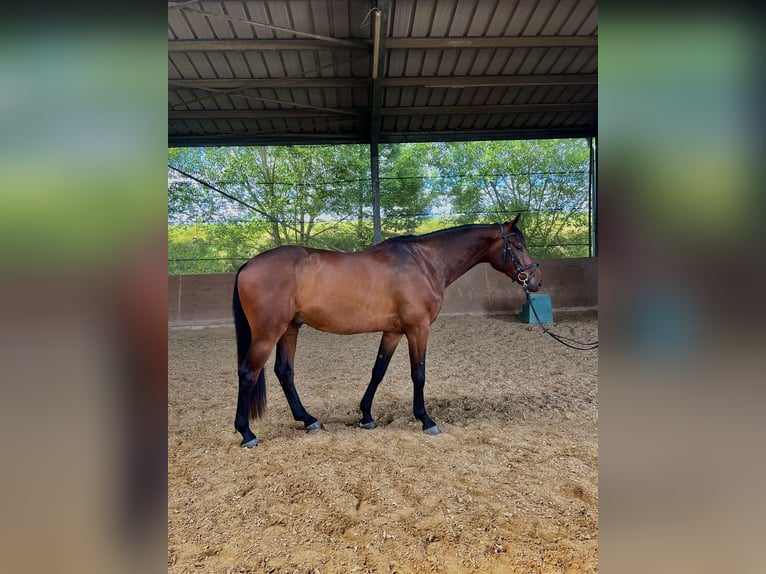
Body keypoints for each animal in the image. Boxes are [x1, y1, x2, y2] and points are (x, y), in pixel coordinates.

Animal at [231, 214, 542, 447]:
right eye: (517, 245)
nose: (536, 281)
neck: (424, 262)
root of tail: (248, 265)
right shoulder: (418, 329)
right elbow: (419, 374)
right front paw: (425, 420)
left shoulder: (394, 332)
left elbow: (378, 371)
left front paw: (367, 416)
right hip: (267, 334)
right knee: (248, 373)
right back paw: (246, 433)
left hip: (289, 329)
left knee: (284, 372)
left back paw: (308, 420)